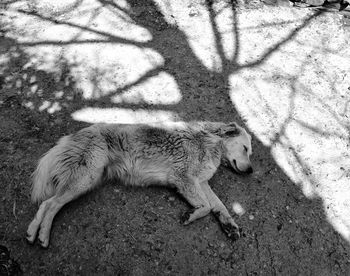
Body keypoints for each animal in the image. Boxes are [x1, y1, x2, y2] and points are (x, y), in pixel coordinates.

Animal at [26, 122, 252, 247]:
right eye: (245, 148)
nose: (251, 171)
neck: (212, 141)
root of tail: (73, 135)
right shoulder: (184, 178)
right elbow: (205, 206)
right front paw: (191, 214)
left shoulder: (201, 182)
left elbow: (219, 205)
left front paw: (230, 226)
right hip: (85, 177)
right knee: (51, 204)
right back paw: (43, 235)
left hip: (88, 178)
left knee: (46, 203)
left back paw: (32, 232)